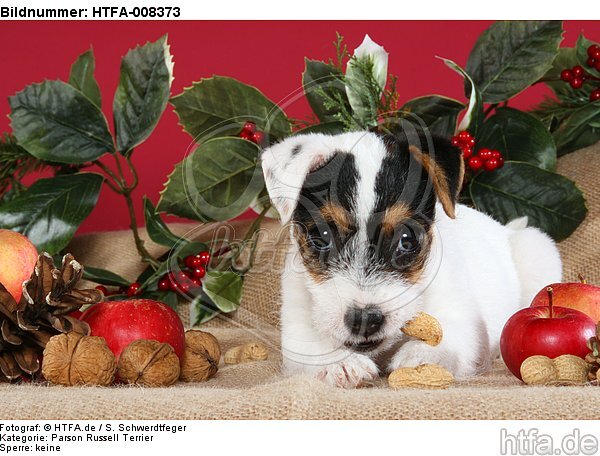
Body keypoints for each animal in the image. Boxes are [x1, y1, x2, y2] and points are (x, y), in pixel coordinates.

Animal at [260, 129, 560, 388]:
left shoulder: (465, 322)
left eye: (406, 240)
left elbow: (447, 338)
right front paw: (339, 364)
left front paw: (420, 356)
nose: (365, 319)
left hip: (538, 251)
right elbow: (309, 346)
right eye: (321, 237)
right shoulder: (296, 321)